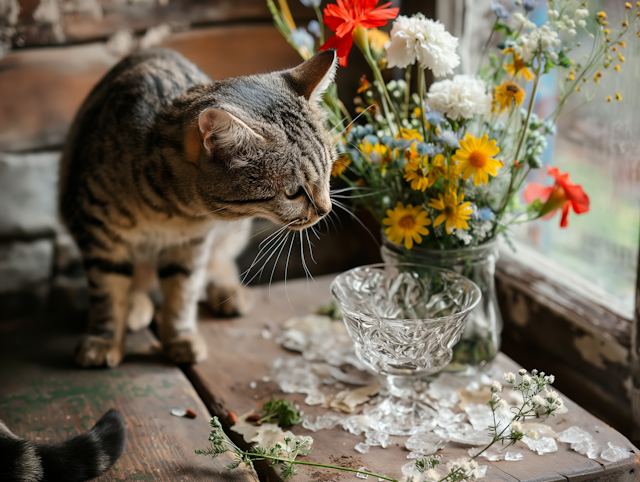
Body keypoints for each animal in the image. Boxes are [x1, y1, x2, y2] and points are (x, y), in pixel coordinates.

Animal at [59, 48, 338, 366]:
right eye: (293, 192)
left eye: (330, 170)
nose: (326, 210)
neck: (170, 210)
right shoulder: (98, 235)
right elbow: (107, 294)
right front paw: (104, 339)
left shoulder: (193, 244)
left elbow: (183, 293)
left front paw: (180, 337)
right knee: (138, 279)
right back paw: (135, 304)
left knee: (219, 261)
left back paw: (228, 291)